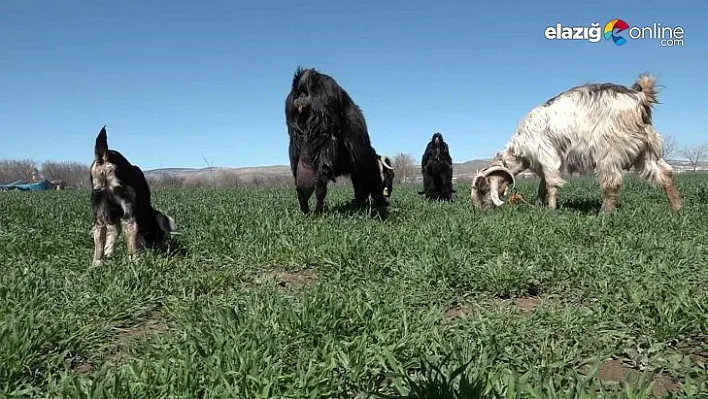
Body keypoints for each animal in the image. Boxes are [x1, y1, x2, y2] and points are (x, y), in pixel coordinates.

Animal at [284, 67, 392, 214]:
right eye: (388, 176)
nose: (384, 200)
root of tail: (309, 77)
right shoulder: (357, 169)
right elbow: (359, 190)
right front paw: (361, 206)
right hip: (325, 146)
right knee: (320, 185)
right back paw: (317, 213)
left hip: (295, 147)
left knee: (299, 188)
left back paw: (306, 212)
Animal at [472, 74, 684, 214]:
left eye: (482, 189)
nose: (478, 209)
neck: (520, 150)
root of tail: (639, 98)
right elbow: (543, 186)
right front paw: (541, 205)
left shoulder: (546, 155)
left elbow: (551, 184)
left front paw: (551, 210)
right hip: (646, 150)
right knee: (665, 174)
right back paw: (677, 209)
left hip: (609, 151)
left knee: (612, 183)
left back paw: (604, 214)